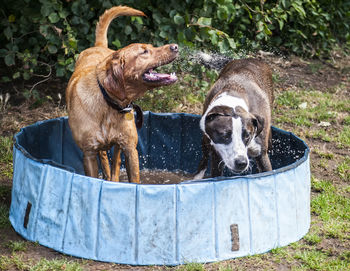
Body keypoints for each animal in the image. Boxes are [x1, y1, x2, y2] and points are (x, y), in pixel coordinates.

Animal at [65, 5, 179, 183]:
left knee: (115, 164)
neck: (108, 103)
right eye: (144, 52)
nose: (175, 46)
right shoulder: (88, 153)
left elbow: (132, 179)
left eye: (152, 47)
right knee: (104, 158)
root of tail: (98, 45)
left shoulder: (130, 149)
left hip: (120, 145)